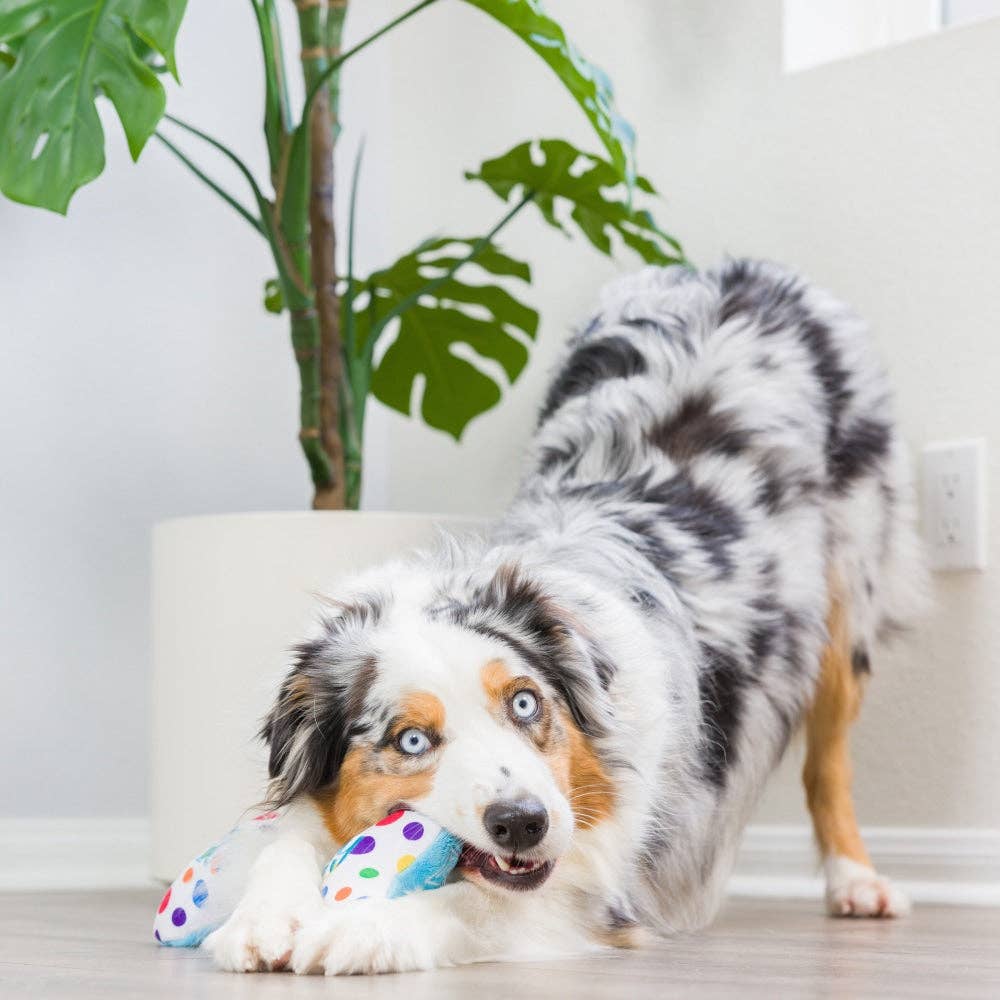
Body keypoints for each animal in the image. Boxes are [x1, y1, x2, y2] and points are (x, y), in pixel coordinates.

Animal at [203, 260, 920, 976]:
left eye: (526, 703)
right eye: (410, 741)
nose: (522, 823)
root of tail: (738, 269)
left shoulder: (591, 894)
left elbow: (472, 901)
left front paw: (358, 926)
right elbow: (285, 841)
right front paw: (261, 917)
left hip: (849, 600)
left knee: (828, 759)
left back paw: (858, 882)